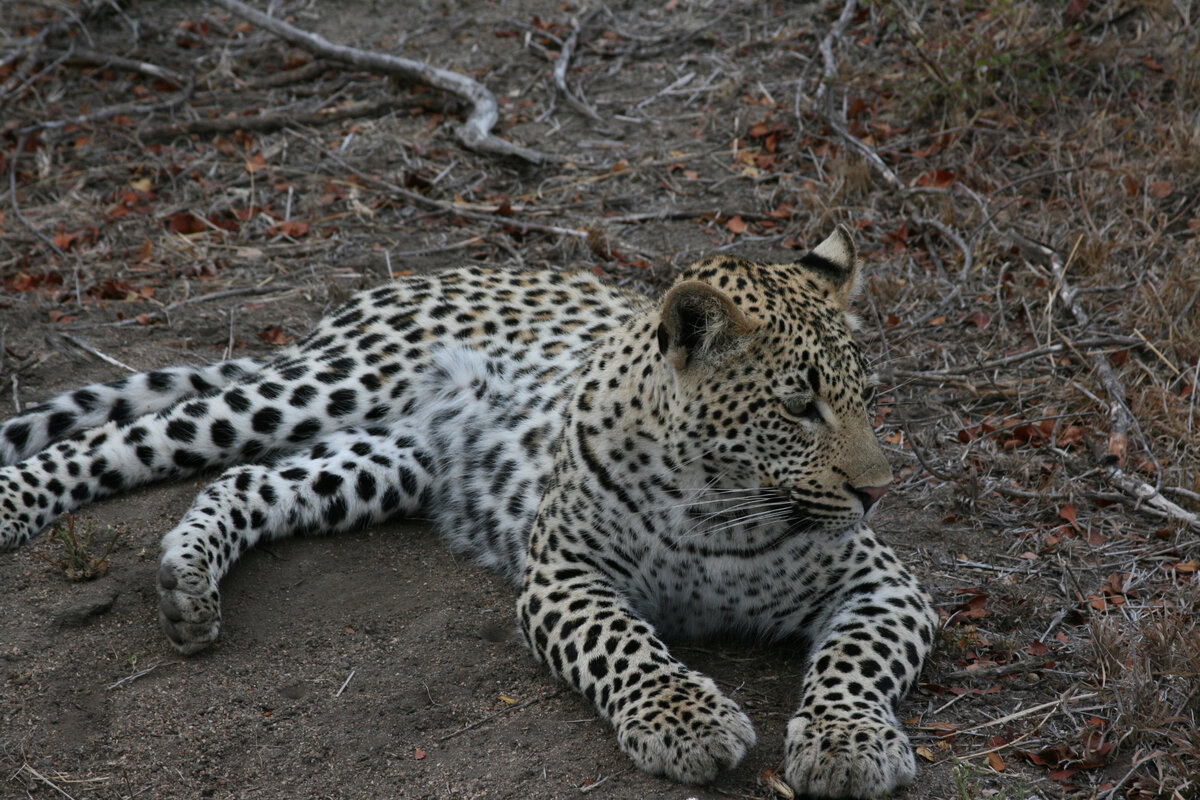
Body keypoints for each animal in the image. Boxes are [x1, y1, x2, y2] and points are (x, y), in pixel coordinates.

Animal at [0, 226, 936, 800]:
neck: (722, 503)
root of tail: (441, 270)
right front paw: (686, 721)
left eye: (864, 397)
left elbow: (856, 660)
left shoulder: (884, 585)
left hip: (382, 461)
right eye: (798, 407)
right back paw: (16, 505)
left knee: (242, 483)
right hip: (316, 389)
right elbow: (627, 646)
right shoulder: (565, 575)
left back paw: (187, 588)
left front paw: (850, 743)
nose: (877, 491)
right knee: (128, 434)